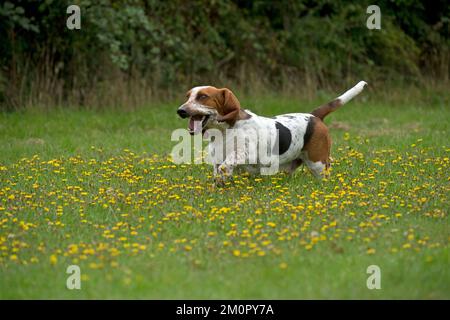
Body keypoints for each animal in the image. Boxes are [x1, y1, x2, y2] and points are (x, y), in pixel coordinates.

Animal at [176, 81, 366, 184]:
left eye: (203, 96)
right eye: (187, 96)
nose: (180, 110)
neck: (225, 131)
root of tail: (313, 116)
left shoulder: (246, 153)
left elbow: (227, 163)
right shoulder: (216, 159)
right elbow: (219, 171)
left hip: (317, 164)